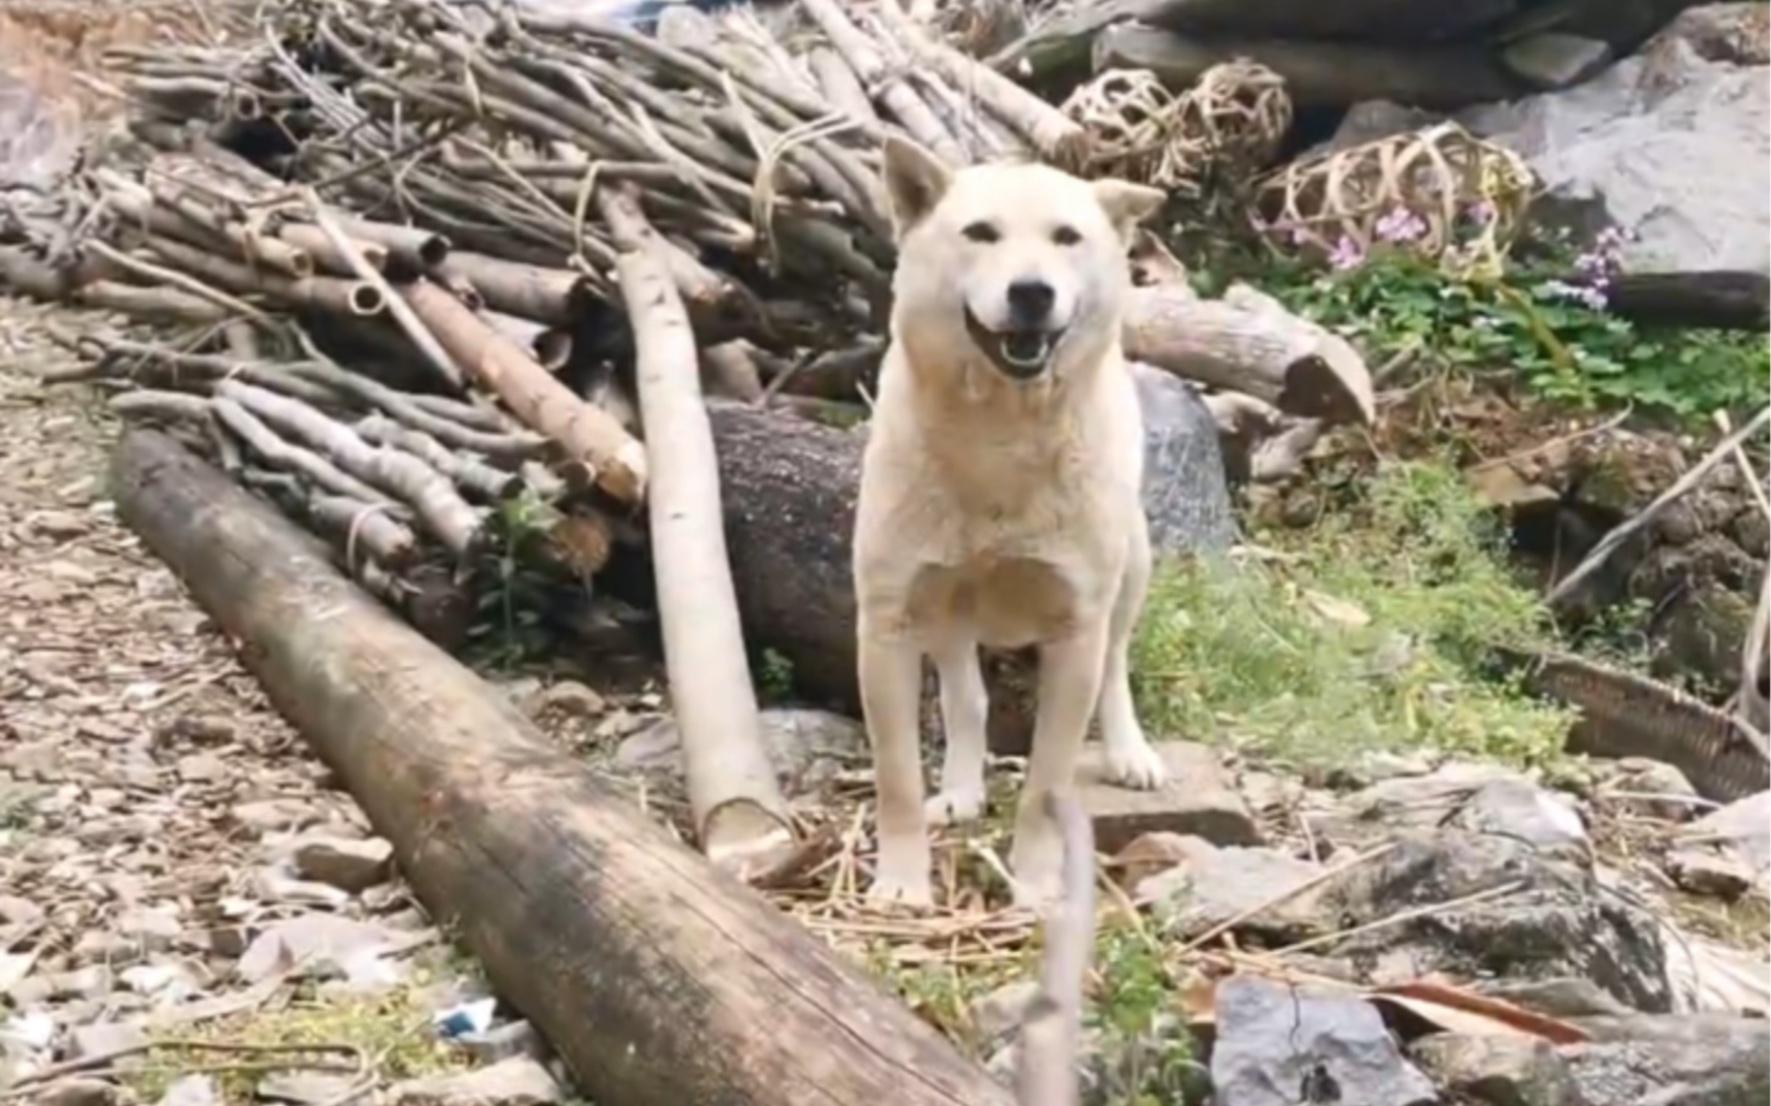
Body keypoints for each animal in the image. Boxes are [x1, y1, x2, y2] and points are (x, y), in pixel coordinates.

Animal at [850, 136, 1168, 906]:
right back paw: (962, 789)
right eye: (980, 233)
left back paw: (1128, 752)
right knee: (966, 697)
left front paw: (1037, 882)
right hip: (943, 607)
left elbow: (1047, 784)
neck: (998, 435)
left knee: (1117, 664)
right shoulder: (887, 622)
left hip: (1132, 569)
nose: (1032, 292)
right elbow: (896, 779)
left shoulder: (1075, 630)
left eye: (1066, 238)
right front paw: (901, 883)